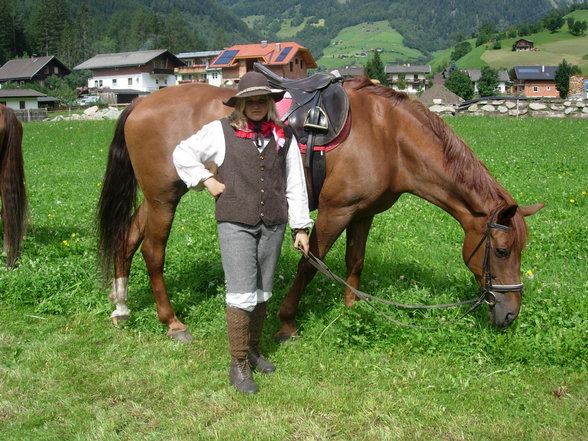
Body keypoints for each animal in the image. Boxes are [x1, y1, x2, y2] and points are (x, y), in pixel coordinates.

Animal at [96, 78, 544, 340]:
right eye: (502, 251)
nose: (510, 314)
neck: (391, 137)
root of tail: (139, 104)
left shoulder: (363, 213)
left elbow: (354, 261)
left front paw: (352, 310)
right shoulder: (334, 211)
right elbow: (310, 264)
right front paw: (287, 322)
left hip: (158, 196)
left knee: (127, 239)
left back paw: (121, 308)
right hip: (164, 198)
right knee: (153, 252)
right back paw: (171, 321)